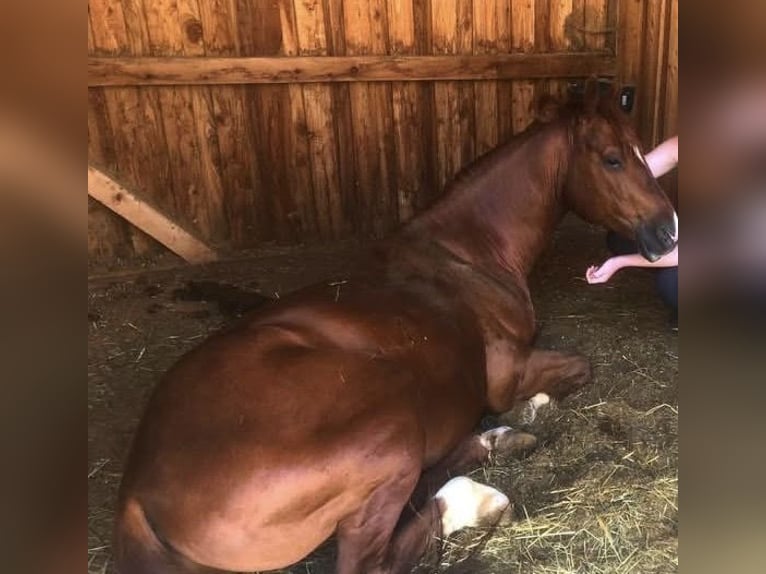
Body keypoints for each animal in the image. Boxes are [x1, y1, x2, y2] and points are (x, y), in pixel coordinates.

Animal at [113, 79, 677, 574]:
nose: (668, 231)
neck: (465, 252)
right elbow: (579, 366)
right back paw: (475, 496)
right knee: (377, 557)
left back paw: (496, 442)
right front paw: (531, 406)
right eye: (613, 158)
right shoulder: (509, 374)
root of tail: (137, 498)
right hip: (392, 434)